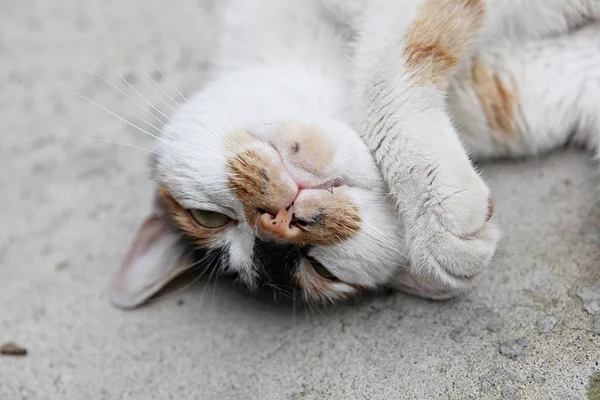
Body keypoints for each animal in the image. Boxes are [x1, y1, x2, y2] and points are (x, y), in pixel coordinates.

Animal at [108, 0, 600, 310]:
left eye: (205, 217)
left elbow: (382, 68)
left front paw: (434, 207)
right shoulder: (523, 84)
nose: (280, 217)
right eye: (322, 272)